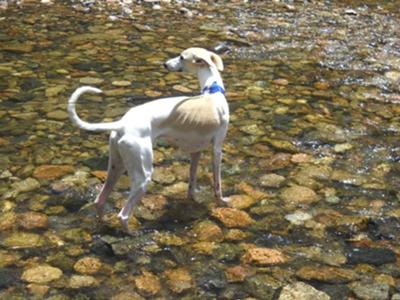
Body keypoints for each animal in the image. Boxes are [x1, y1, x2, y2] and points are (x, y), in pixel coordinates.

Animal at [67, 47, 230, 232]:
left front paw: (192, 199)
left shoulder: (196, 152)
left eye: (181, 57)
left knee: (99, 200)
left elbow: (191, 182)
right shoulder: (217, 148)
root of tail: (122, 124)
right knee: (123, 215)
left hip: (116, 165)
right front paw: (222, 201)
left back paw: (102, 224)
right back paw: (132, 234)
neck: (212, 91)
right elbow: (217, 183)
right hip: (143, 174)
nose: (165, 64)